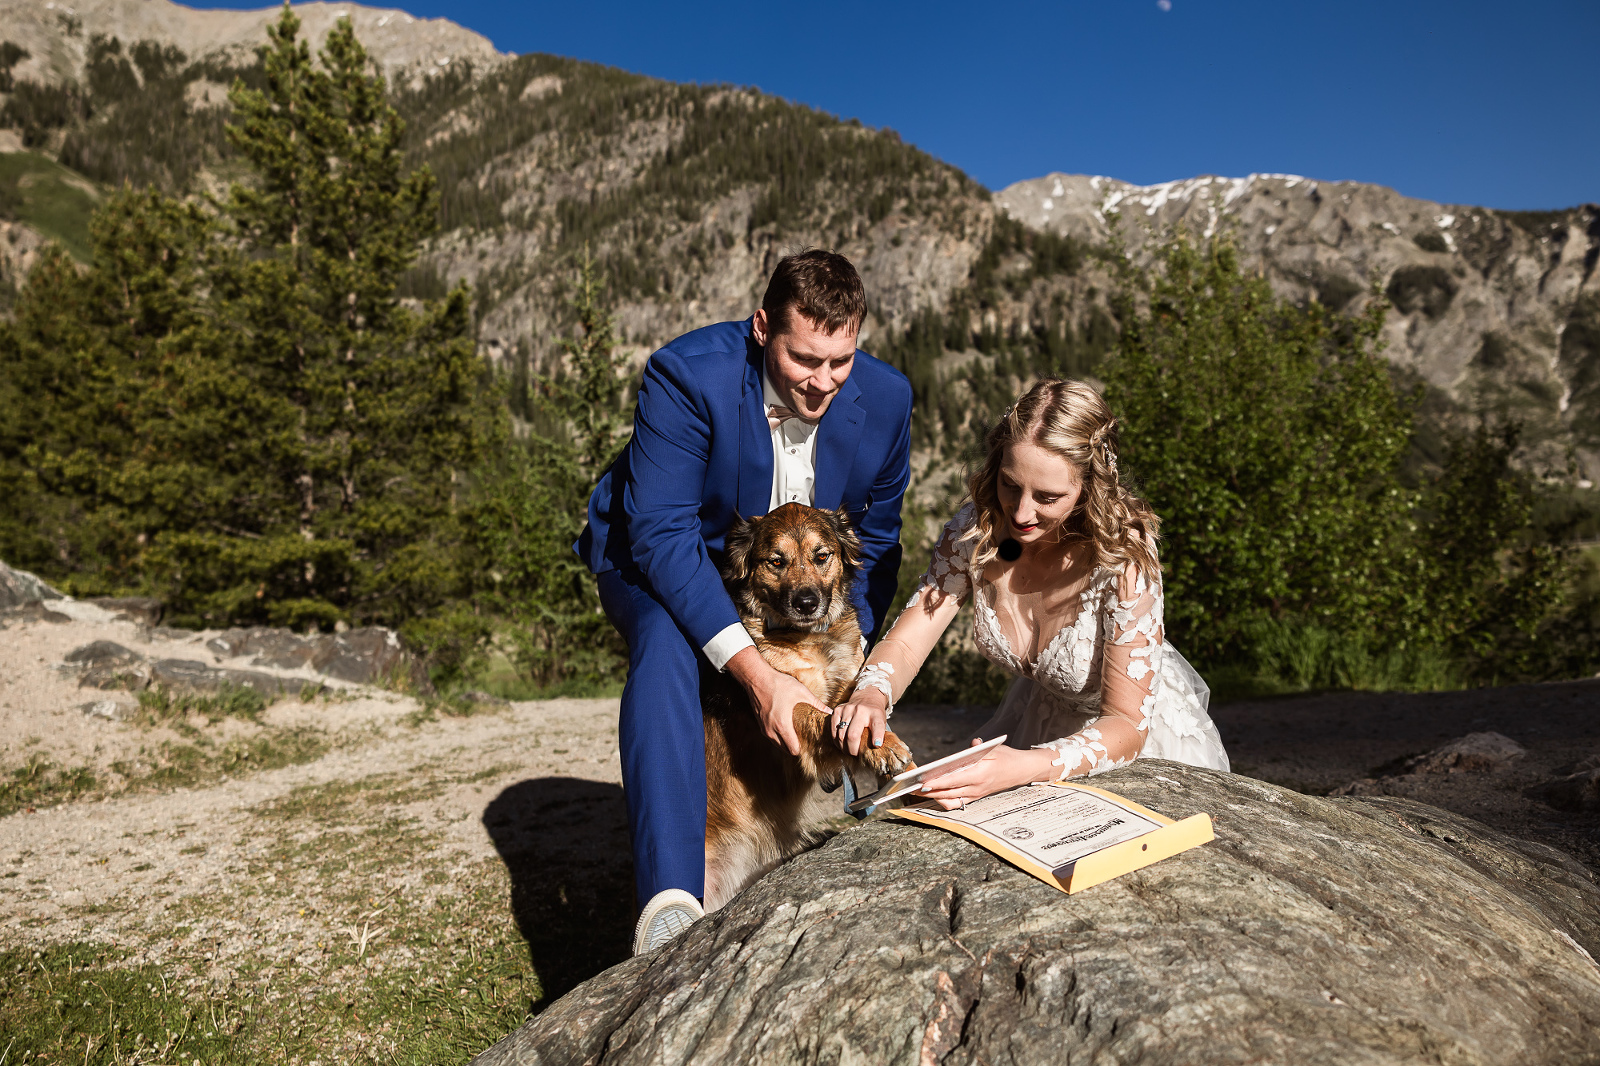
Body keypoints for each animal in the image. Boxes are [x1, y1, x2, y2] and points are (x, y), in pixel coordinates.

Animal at [704, 499, 915, 902]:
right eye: (776, 561)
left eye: (821, 556)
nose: (806, 602)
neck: (810, 641)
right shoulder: (786, 708)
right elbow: (827, 720)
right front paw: (879, 749)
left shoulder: (851, 685)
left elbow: (865, 713)